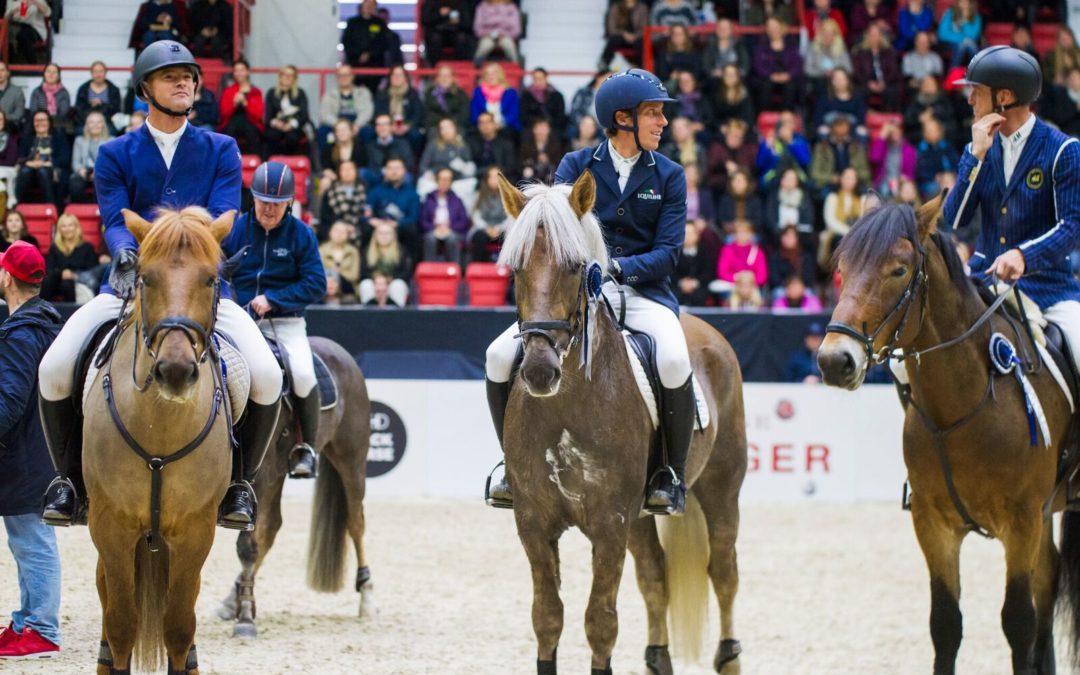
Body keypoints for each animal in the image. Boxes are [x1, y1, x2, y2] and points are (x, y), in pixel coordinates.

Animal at [84, 206, 236, 674]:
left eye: (210, 279)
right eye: (145, 278)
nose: (175, 370)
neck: (161, 428)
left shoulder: (195, 532)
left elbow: (178, 628)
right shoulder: (111, 526)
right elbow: (120, 626)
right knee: (108, 606)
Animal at [216, 336, 375, 637]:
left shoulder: (255, 478)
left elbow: (246, 545)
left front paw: (246, 618)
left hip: (351, 459)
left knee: (356, 522)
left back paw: (367, 594)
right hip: (278, 475)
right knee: (271, 528)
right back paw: (232, 598)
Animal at [495, 171, 747, 674]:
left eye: (577, 267)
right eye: (515, 270)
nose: (538, 371)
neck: (566, 407)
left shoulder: (609, 524)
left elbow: (600, 623)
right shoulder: (533, 522)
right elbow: (547, 617)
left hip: (721, 488)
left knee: (724, 572)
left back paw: (728, 655)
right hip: (640, 518)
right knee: (655, 577)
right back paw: (658, 658)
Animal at [817, 195, 1080, 674]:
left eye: (899, 270)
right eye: (842, 267)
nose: (834, 361)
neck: (963, 405)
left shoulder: (1021, 522)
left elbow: (1017, 621)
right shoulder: (934, 523)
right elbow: (945, 625)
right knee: (1048, 582)